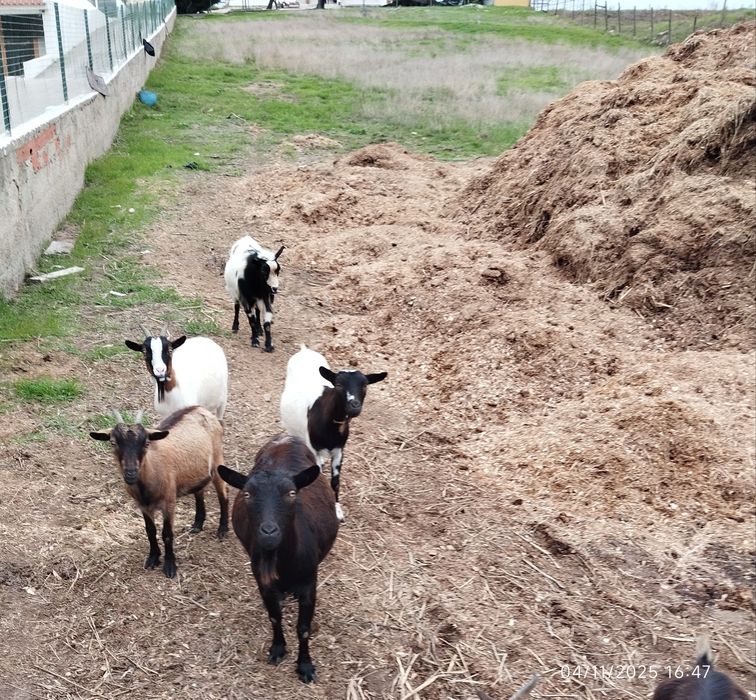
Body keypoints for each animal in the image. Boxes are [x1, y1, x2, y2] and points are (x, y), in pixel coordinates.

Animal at [89, 406, 229, 578]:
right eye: (113, 443)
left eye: (146, 443)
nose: (131, 473)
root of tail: (202, 409)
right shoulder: (142, 505)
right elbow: (150, 530)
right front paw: (153, 558)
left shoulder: (169, 502)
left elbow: (167, 533)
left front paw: (170, 566)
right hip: (197, 470)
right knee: (199, 491)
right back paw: (197, 524)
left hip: (217, 460)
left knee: (223, 493)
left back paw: (223, 529)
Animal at [218, 435, 339, 683]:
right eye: (247, 494)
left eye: (292, 493)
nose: (269, 532)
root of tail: (286, 437)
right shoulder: (262, 583)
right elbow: (274, 616)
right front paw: (277, 648)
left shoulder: (309, 583)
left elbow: (303, 627)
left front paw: (305, 666)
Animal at [279, 344, 387, 521]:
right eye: (338, 385)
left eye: (365, 385)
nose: (354, 406)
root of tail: (304, 350)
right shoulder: (314, 448)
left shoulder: (339, 450)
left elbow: (335, 482)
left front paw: (337, 510)